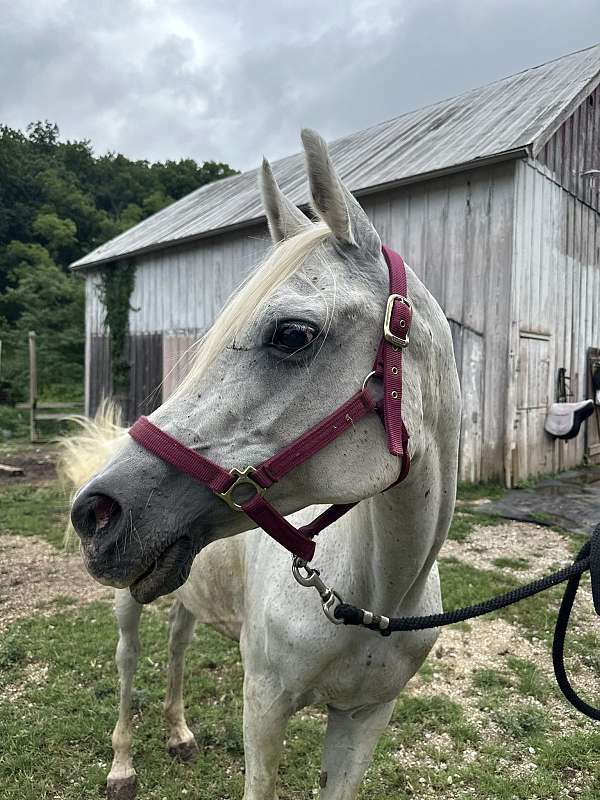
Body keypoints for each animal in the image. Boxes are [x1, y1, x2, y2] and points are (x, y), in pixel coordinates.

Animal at [65, 128, 461, 800]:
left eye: (292, 334)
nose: (95, 512)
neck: (375, 597)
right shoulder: (264, 707)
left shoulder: (364, 718)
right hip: (127, 606)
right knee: (128, 663)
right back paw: (121, 766)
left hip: (183, 585)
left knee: (177, 644)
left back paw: (179, 734)